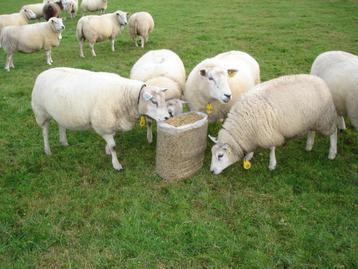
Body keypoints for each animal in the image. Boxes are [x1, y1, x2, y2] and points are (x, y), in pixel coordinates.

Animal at [31, 66, 170, 170]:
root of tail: (42, 73)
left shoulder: (111, 123)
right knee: (45, 132)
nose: (167, 117)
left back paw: (63, 142)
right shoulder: (104, 124)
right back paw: (47, 150)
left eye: (164, 100)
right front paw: (116, 164)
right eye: (153, 101)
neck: (125, 96)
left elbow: (111, 141)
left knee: (61, 125)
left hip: (61, 111)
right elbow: (114, 146)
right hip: (41, 112)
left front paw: (107, 150)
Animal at [208, 74, 338, 174]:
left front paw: (272, 164)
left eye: (220, 156)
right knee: (312, 130)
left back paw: (332, 153)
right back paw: (309, 146)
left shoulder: (269, 132)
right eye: (212, 153)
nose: (212, 171)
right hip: (313, 118)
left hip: (325, 117)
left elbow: (271, 148)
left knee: (334, 132)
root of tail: (321, 80)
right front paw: (249, 155)